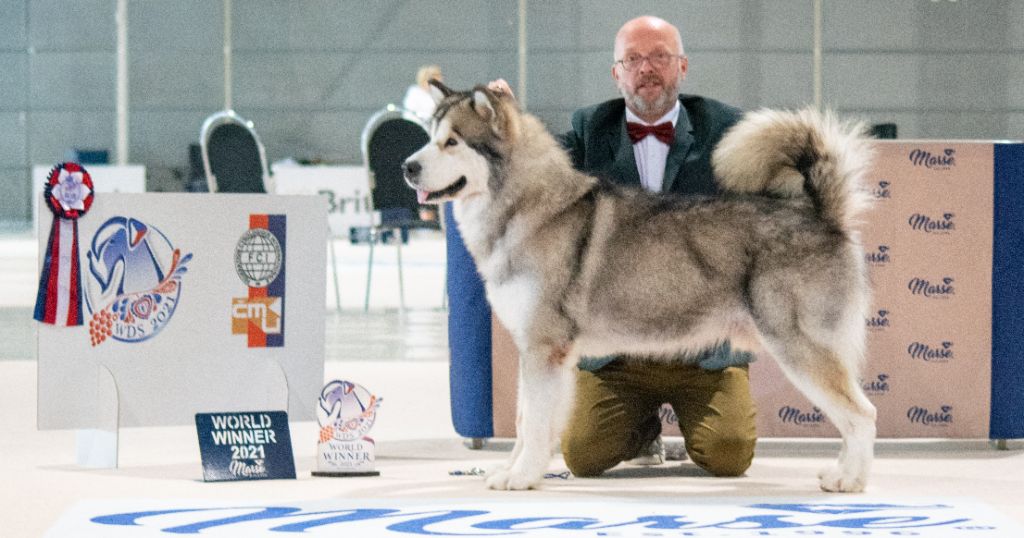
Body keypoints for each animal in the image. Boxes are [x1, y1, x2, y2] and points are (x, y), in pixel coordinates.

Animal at [403, 80, 876, 489]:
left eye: (452, 142)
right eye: (429, 137)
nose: (407, 166)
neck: (527, 208)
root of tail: (821, 215)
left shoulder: (544, 347)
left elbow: (534, 425)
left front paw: (521, 478)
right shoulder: (535, 350)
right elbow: (523, 422)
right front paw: (513, 470)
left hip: (800, 348)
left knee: (862, 414)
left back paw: (849, 481)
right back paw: (840, 472)